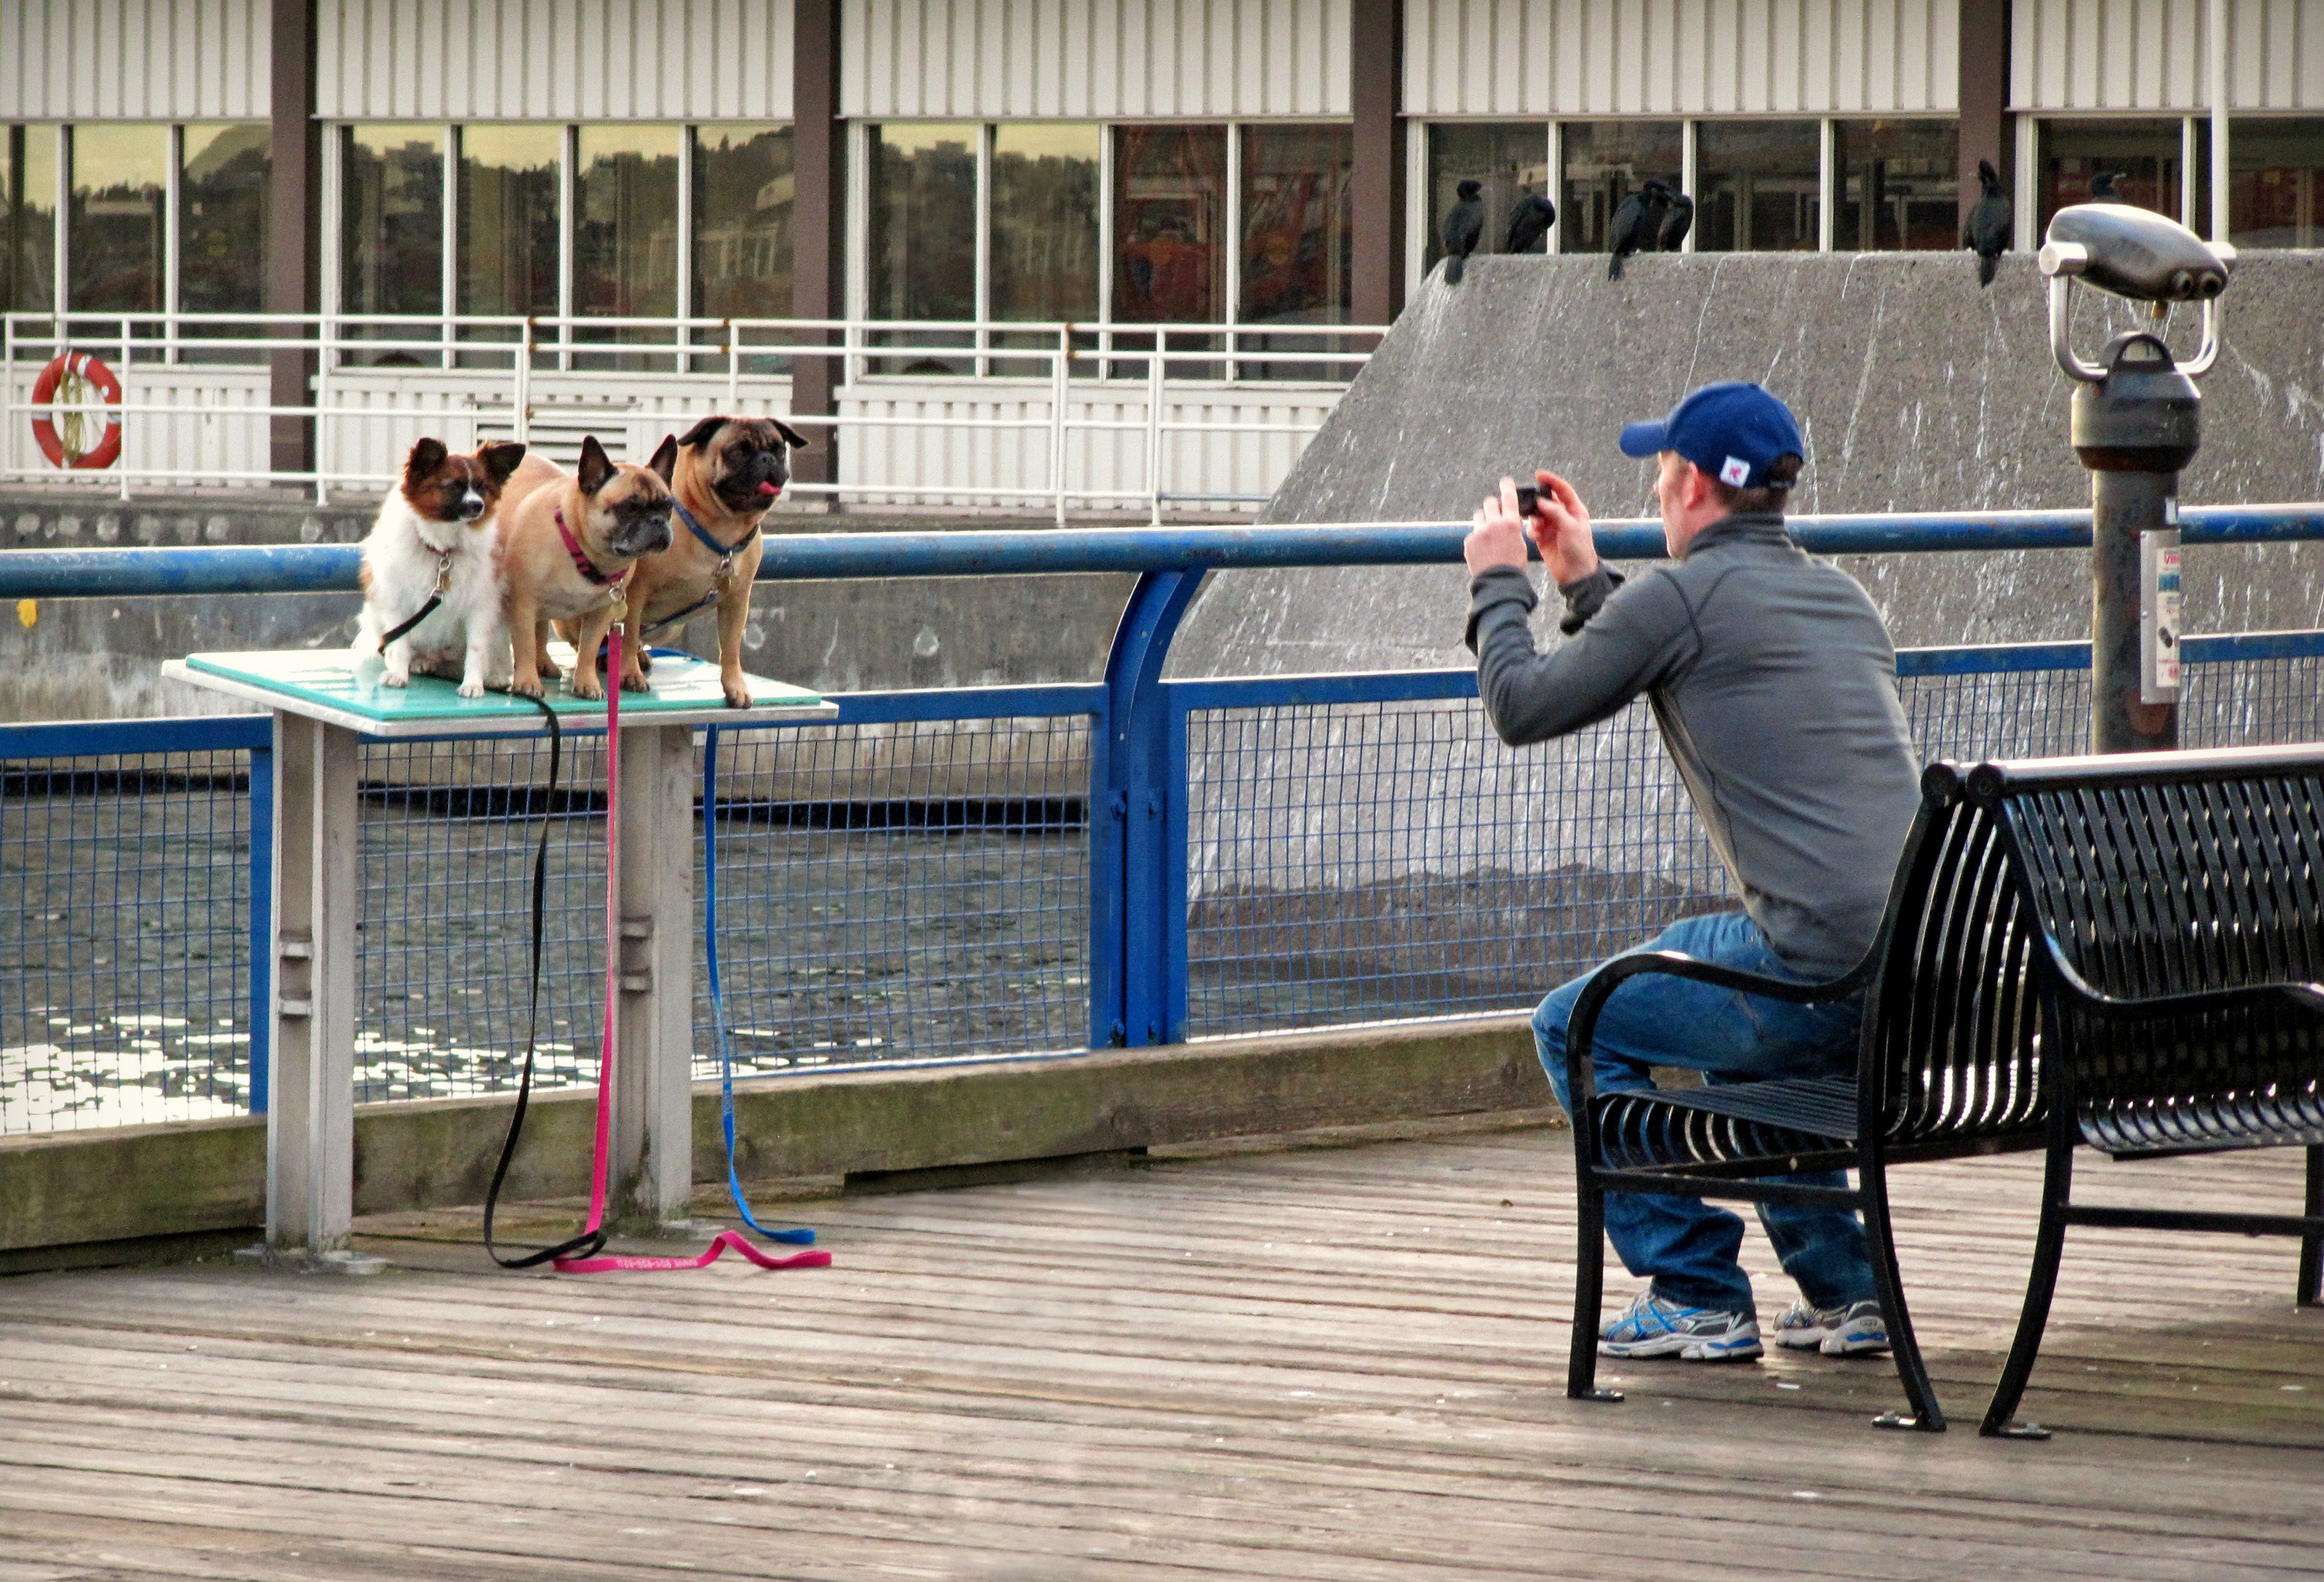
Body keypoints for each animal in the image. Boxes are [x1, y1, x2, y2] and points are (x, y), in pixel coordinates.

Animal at [355, 439, 530, 697]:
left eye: (482, 487)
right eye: (453, 486)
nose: (478, 506)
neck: (442, 550)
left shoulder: (481, 606)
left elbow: (477, 649)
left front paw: (473, 684)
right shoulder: (397, 603)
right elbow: (399, 643)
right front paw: (398, 674)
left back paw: (494, 676)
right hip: (376, 615)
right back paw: (419, 662)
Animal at [618, 413, 808, 701]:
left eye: (779, 449)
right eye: (738, 451)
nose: (766, 459)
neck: (723, 525)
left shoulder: (737, 600)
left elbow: (731, 647)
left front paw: (735, 686)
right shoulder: (636, 592)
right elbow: (628, 636)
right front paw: (630, 673)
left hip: (671, 627)